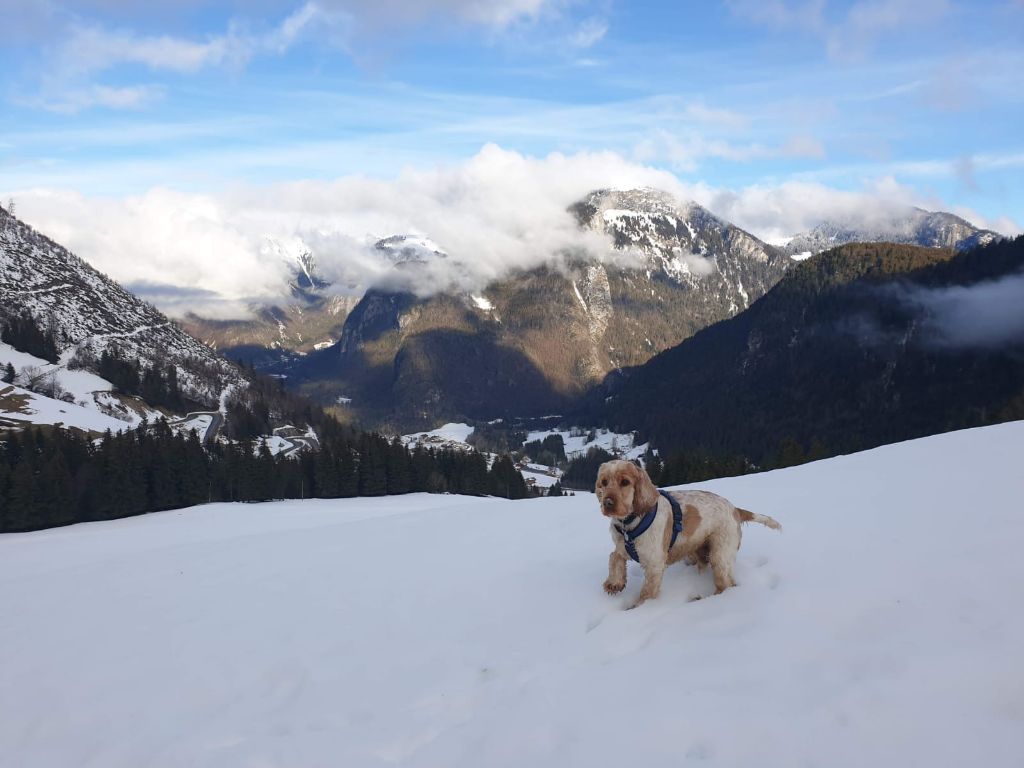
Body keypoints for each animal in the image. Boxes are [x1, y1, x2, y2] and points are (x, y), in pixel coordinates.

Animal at [598, 460, 778, 610]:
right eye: (604, 482)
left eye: (625, 482)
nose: (607, 503)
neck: (628, 524)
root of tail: (736, 510)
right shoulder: (623, 547)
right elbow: (614, 557)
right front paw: (614, 584)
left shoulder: (654, 562)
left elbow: (647, 592)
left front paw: (638, 608)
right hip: (699, 549)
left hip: (720, 555)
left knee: (726, 584)